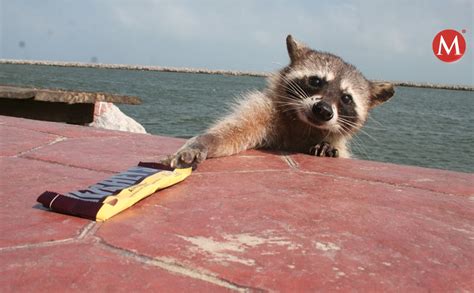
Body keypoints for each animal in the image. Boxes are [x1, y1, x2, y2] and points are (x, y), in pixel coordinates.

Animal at [161, 34, 394, 168]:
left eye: (346, 98)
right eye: (316, 81)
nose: (323, 110)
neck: (304, 125)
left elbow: (340, 151)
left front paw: (328, 146)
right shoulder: (265, 111)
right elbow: (234, 131)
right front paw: (204, 142)